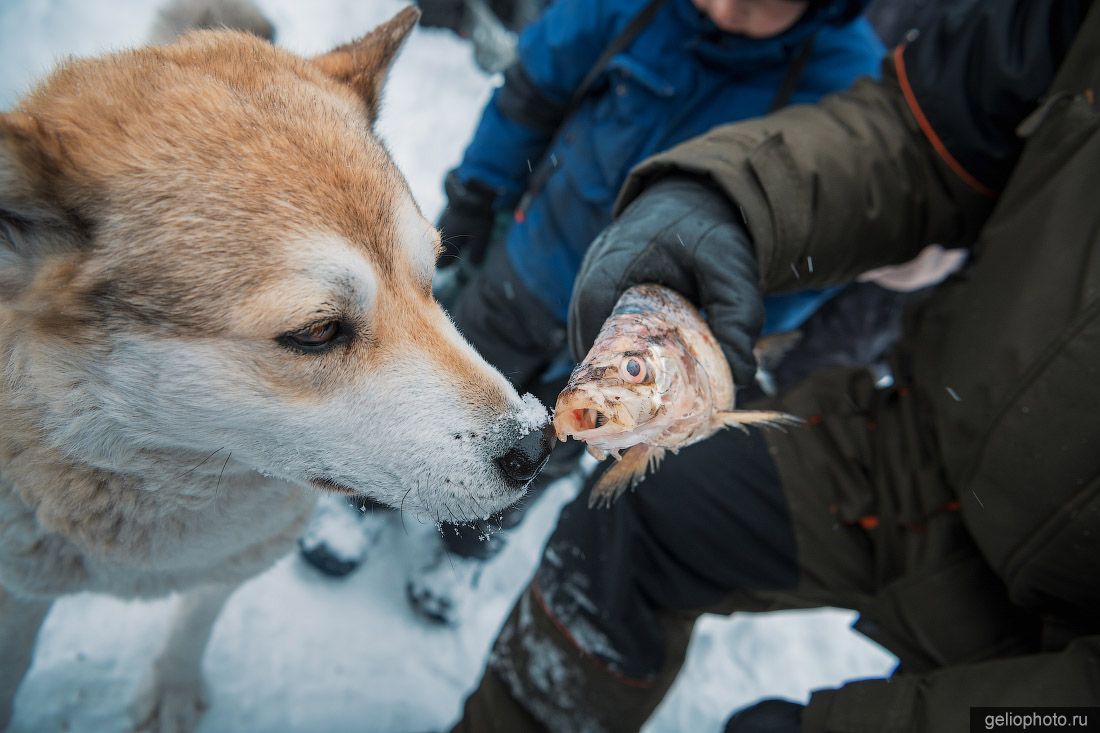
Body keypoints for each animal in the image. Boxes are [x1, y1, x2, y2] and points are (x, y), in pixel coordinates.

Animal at [0, 7, 550, 730]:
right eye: (317, 331)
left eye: (431, 278)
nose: (536, 447)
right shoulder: (20, 588)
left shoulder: (237, 559)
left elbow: (195, 623)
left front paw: (174, 690)